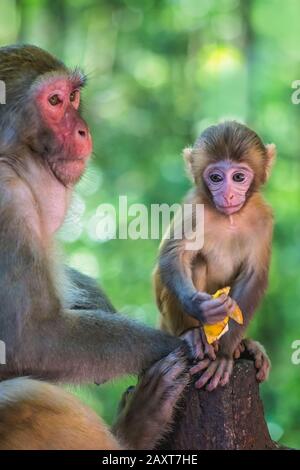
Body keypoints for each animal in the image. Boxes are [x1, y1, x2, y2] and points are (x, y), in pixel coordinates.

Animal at [0, 46, 195, 450]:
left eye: (74, 97)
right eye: (54, 101)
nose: (83, 130)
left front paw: (94, 297)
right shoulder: (7, 201)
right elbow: (28, 340)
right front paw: (173, 345)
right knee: (22, 395)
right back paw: (136, 429)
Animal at [155, 120, 274, 390]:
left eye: (238, 177)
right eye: (216, 178)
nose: (228, 194)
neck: (230, 218)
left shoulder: (263, 218)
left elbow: (252, 277)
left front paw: (224, 355)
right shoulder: (194, 207)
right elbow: (174, 256)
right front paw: (200, 307)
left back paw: (243, 345)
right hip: (168, 322)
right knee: (196, 262)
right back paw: (192, 334)